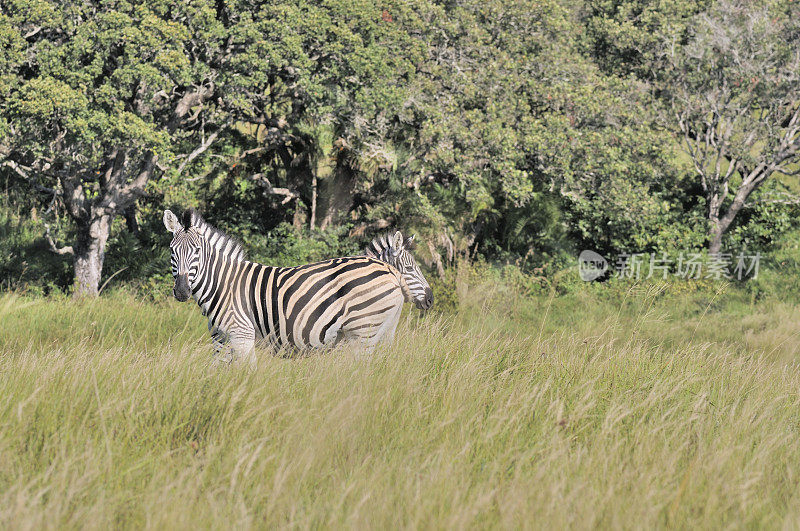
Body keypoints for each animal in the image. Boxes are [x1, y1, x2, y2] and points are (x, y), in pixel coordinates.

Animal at [163, 209, 434, 366]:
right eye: (172, 251)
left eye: (197, 252)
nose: (182, 291)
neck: (224, 284)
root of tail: (387, 270)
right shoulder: (220, 339)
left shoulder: (242, 334)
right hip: (378, 332)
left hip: (362, 332)